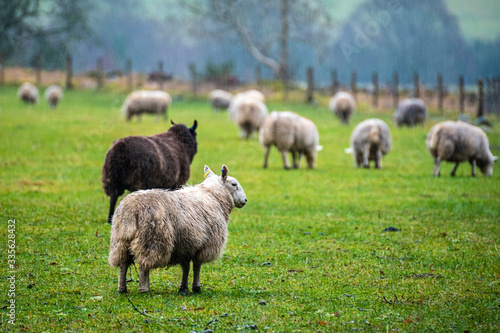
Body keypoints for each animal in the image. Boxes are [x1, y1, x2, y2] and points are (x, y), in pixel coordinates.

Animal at [109, 163, 246, 294]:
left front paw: (183, 288)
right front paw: (196, 288)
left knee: (123, 264)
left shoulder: (186, 244)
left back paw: (122, 289)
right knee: (144, 265)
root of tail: (131, 210)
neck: (213, 196)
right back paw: (144, 289)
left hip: (120, 240)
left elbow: (186, 267)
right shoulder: (205, 245)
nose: (245, 200)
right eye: (234, 184)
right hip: (151, 239)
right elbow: (197, 266)